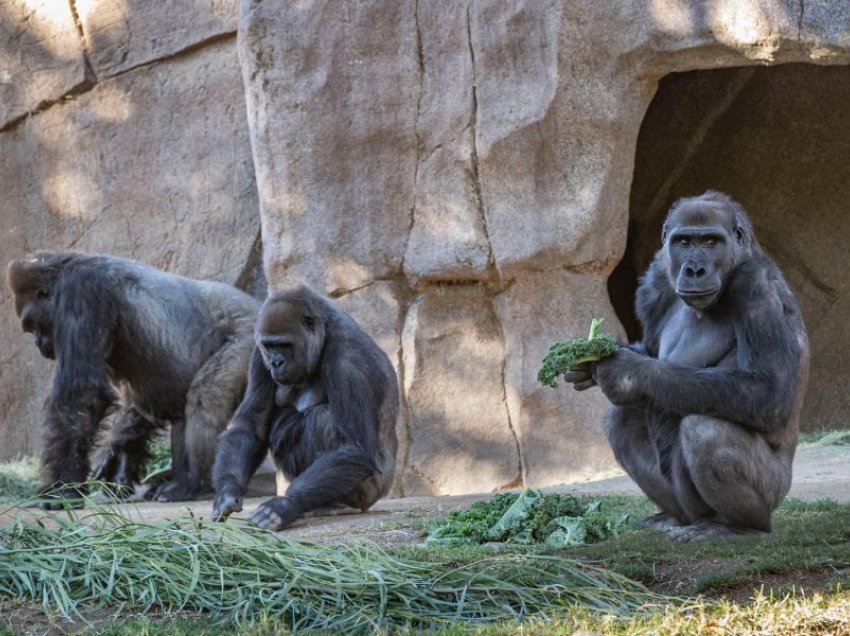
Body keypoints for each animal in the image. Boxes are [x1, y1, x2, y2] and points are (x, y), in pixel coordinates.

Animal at [5, 251, 258, 510]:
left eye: (33, 323)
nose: (39, 343)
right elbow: (140, 399)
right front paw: (120, 452)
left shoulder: (81, 290)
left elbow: (83, 395)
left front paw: (63, 488)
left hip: (249, 334)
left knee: (205, 396)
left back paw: (189, 481)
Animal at [212, 286, 398, 528]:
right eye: (269, 346)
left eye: (285, 345)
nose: (276, 363)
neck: (325, 333)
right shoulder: (259, 355)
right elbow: (251, 426)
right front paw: (227, 492)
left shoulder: (349, 360)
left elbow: (354, 448)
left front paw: (285, 505)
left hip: (372, 491)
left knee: (322, 419)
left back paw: (338, 504)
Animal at [564, 190, 808, 540]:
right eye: (683, 242)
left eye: (710, 242)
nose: (694, 269)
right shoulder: (655, 283)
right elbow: (650, 351)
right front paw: (590, 361)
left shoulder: (756, 285)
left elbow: (768, 391)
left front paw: (626, 373)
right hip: (684, 505)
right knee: (622, 419)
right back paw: (672, 516)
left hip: (776, 491)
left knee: (704, 429)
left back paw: (739, 527)